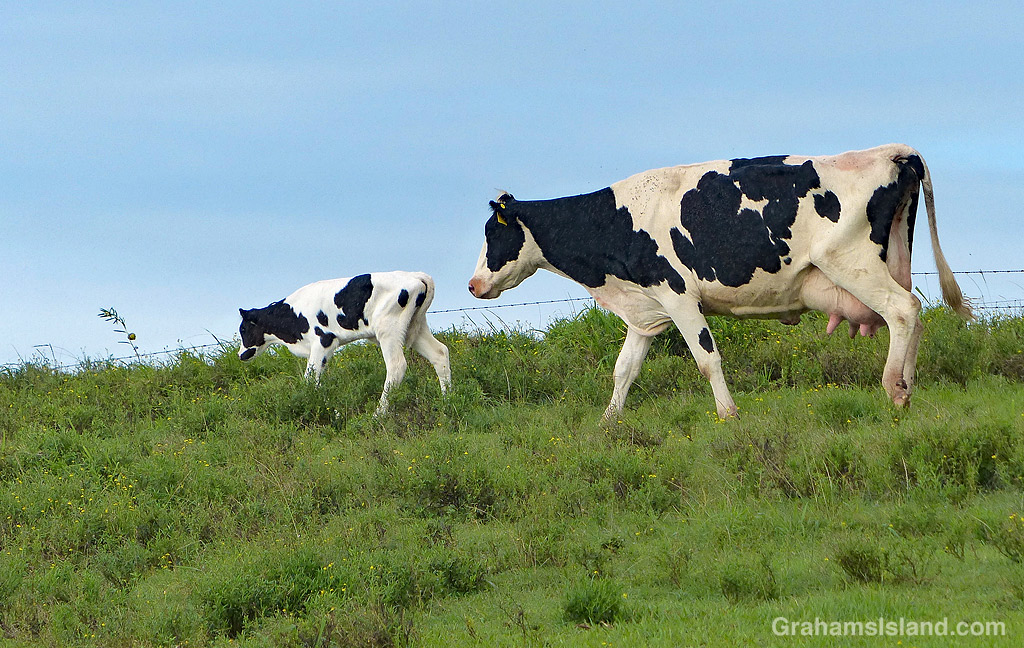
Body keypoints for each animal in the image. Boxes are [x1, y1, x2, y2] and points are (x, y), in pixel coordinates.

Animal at [238, 271, 451, 416]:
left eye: (243, 329)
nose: (240, 354)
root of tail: (416, 275)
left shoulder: (323, 340)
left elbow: (310, 378)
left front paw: (326, 409)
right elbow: (316, 378)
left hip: (389, 329)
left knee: (396, 366)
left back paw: (378, 414)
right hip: (416, 327)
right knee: (440, 353)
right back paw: (447, 399)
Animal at [468, 144, 971, 421]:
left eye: (493, 233)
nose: (473, 285)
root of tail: (890, 151)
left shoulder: (677, 294)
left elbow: (707, 360)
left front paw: (729, 415)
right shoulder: (645, 307)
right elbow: (623, 369)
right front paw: (607, 424)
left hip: (851, 262)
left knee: (903, 310)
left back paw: (894, 389)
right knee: (914, 313)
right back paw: (908, 385)